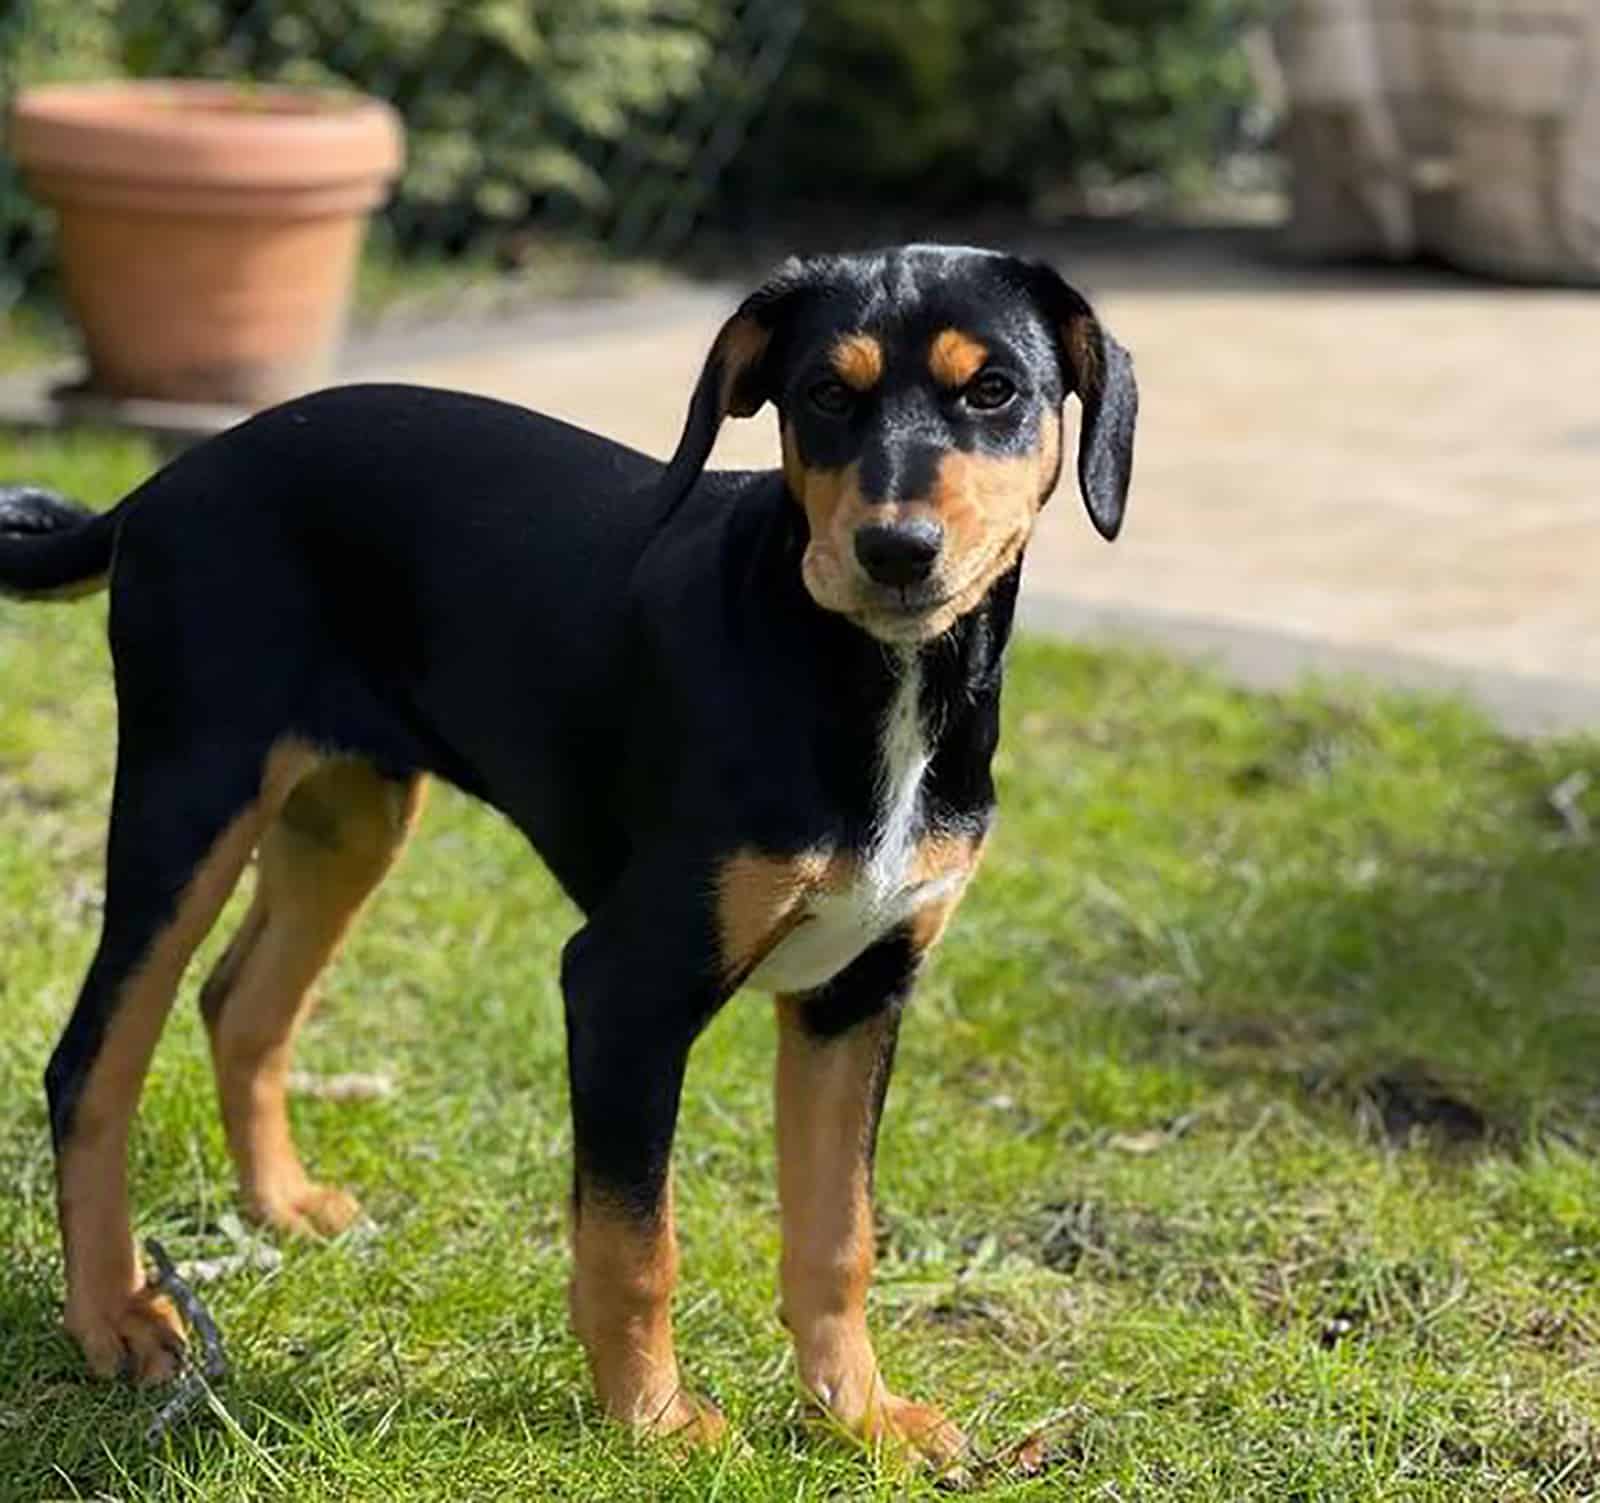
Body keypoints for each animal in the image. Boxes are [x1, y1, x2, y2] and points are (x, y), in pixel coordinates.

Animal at [0, 249, 1132, 1466]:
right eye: (826, 394)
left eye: (995, 392)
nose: (895, 551)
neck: (865, 678)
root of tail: (169, 481)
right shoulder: (625, 986)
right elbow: (635, 1238)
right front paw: (658, 1423)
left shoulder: (858, 991)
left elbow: (839, 1233)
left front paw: (861, 1416)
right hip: (190, 795)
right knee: (91, 1060)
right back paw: (112, 1317)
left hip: (346, 815)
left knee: (242, 1001)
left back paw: (283, 1207)